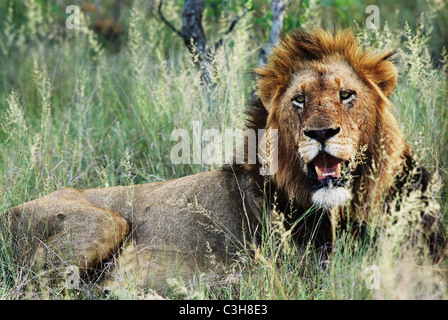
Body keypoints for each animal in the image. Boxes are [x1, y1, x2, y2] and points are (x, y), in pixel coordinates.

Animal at [3, 28, 442, 292]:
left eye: (346, 95)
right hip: (106, 221)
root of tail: (8, 212)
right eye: (299, 100)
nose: (320, 134)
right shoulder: (299, 273)